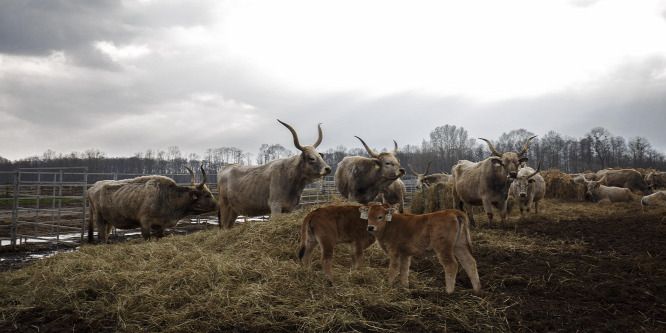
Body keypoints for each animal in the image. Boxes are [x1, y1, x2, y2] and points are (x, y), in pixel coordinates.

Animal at [86, 165, 218, 241]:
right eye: (207, 194)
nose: (217, 205)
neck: (166, 196)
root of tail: (92, 187)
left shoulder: (160, 225)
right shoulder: (145, 222)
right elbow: (147, 237)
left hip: (109, 221)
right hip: (99, 218)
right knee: (101, 236)